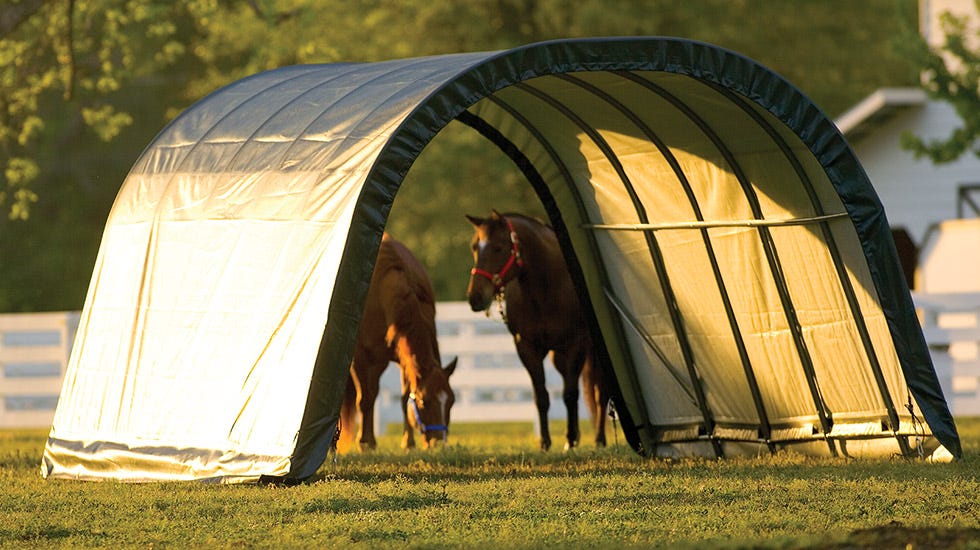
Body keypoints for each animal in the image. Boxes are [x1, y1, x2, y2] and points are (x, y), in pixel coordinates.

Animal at [338, 233, 458, 452]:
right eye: (425, 401)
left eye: (451, 401)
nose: (439, 443)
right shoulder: (360, 358)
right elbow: (364, 399)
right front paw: (365, 442)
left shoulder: (404, 358)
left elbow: (403, 398)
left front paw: (408, 442)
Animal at [466, 211, 608, 452]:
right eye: (475, 247)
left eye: (498, 248)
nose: (474, 297)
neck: (547, 288)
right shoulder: (527, 347)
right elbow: (541, 396)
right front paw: (545, 443)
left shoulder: (576, 345)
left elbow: (570, 394)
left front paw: (570, 440)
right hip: (557, 356)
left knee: (600, 393)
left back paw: (599, 439)